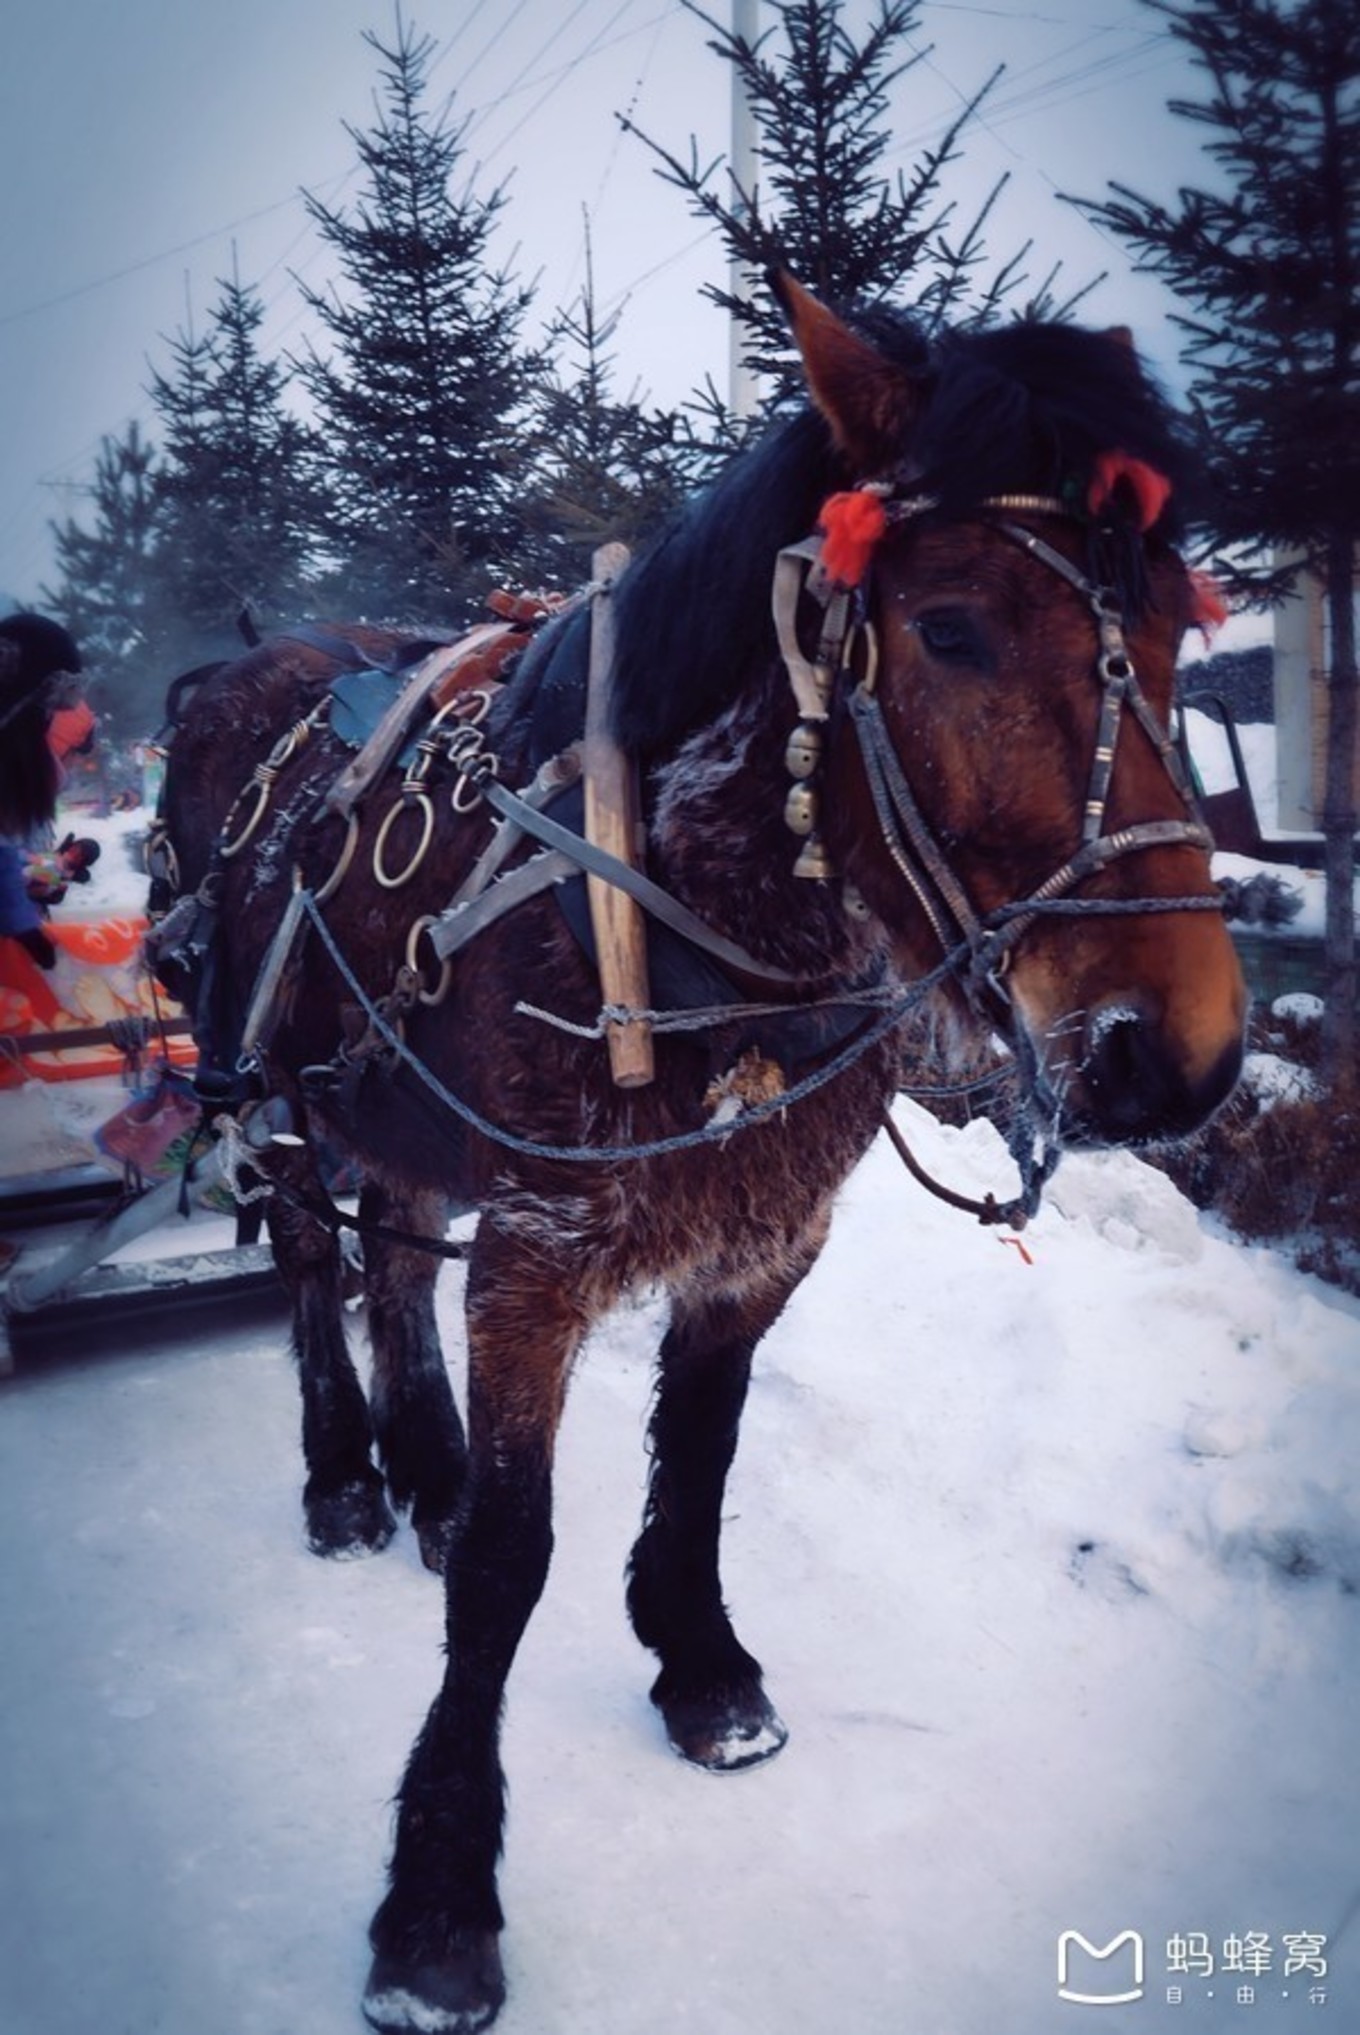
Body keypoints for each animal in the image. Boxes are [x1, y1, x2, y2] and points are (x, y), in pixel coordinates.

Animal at [148, 278, 1245, 2026]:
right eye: (951, 627)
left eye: (1173, 627)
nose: (1181, 1052)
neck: (687, 926)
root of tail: (242, 673)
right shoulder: (536, 1248)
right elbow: (511, 1562)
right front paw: (439, 1890)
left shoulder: (764, 1236)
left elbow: (704, 1457)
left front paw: (701, 1661)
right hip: (273, 1085)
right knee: (321, 1257)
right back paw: (345, 1473)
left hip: (398, 1105)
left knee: (390, 1258)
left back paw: (423, 1462)